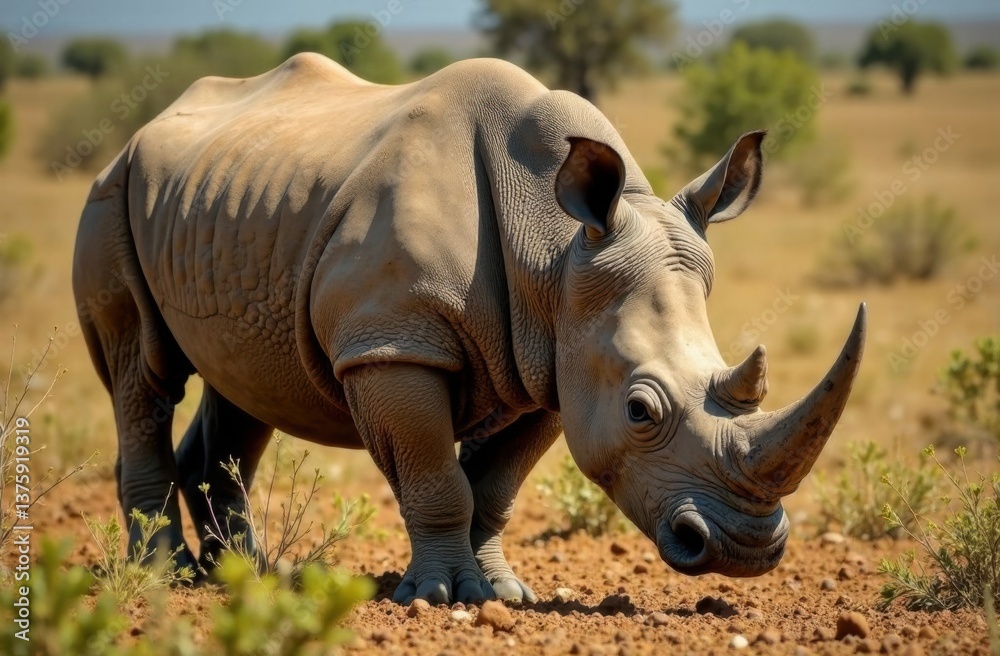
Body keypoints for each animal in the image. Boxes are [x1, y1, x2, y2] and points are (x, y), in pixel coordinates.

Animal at [73, 54, 866, 605]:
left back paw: (249, 575)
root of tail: (144, 128)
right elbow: (436, 477)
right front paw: (436, 596)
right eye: (641, 411)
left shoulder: (554, 359)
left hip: (228, 210)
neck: (556, 249)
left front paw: (501, 592)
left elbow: (493, 488)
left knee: (246, 384)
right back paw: (168, 576)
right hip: (111, 194)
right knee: (142, 372)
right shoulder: (393, 344)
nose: (745, 551)